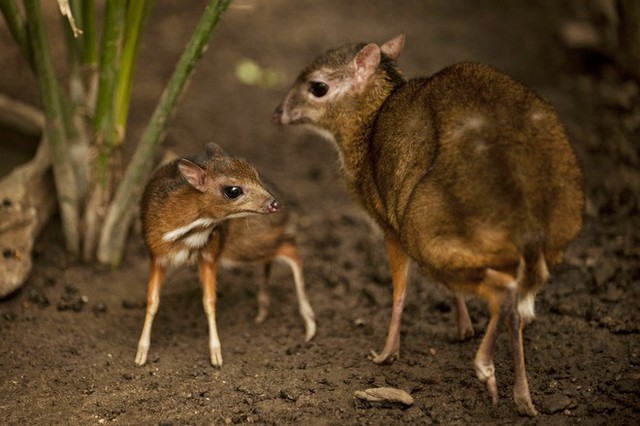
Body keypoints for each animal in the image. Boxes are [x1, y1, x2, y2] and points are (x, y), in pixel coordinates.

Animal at [136, 142, 316, 366]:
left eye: (255, 175)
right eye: (233, 190)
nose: (275, 204)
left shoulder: (211, 255)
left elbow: (209, 301)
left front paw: (216, 354)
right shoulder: (157, 255)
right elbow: (152, 302)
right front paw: (141, 353)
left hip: (242, 246)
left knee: (291, 248)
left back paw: (309, 323)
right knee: (282, 250)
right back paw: (263, 310)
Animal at [272, 34, 584, 416]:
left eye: (318, 87)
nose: (278, 113)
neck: (370, 121)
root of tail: (525, 211)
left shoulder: (389, 227)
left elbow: (400, 291)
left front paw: (386, 353)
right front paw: (463, 327)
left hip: (423, 232)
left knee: (503, 292)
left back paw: (485, 368)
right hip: (547, 238)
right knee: (516, 306)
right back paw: (523, 398)